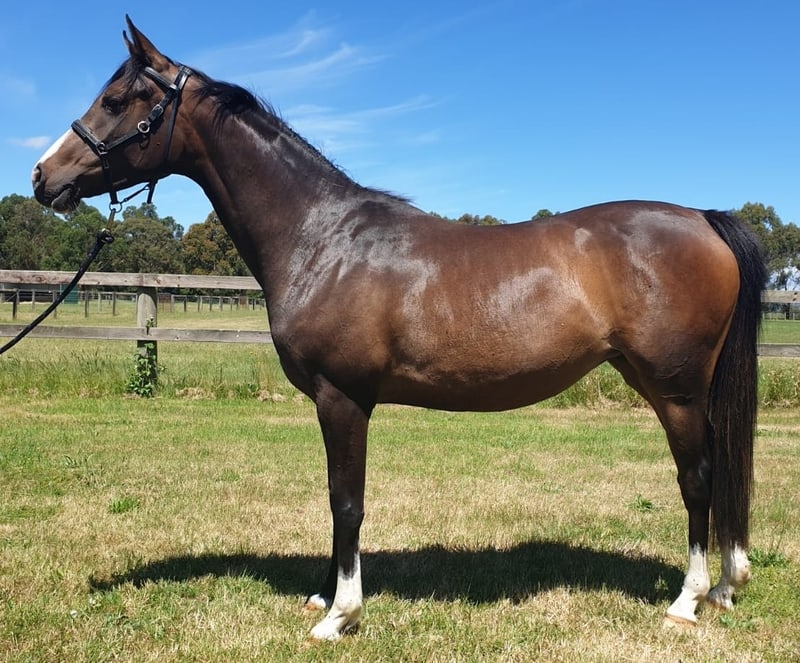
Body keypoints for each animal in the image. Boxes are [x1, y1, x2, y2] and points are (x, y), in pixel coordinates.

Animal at [32, 17, 767, 641]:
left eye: (116, 99)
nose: (43, 176)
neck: (322, 236)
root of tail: (702, 218)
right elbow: (336, 498)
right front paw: (325, 595)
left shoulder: (343, 397)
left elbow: (346, 501)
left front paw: (341, 615)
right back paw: (726, 586)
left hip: (674, 389)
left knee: (699, 476)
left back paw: (687, 600)